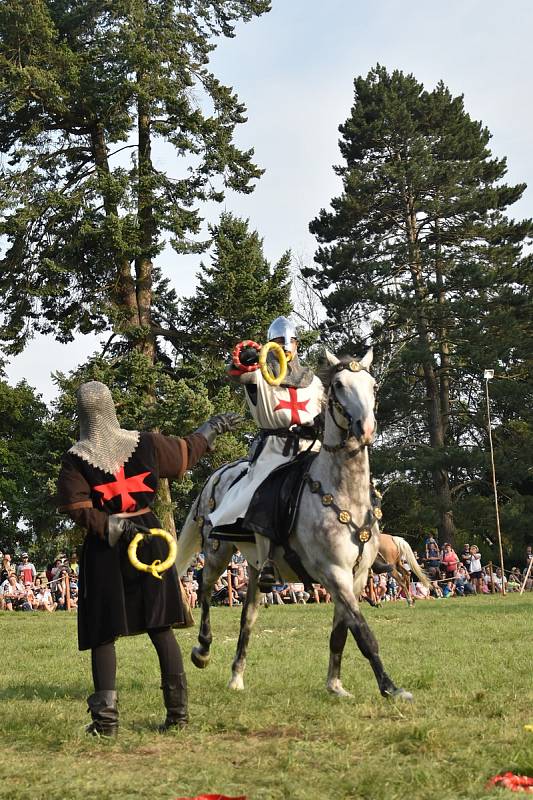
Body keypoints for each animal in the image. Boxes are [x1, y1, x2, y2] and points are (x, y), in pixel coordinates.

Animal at [175, 350, 412, 700]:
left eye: (373, 385)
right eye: (339, 385)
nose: (366, 428)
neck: (343, 492)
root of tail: (218, 474)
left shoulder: (355, 578)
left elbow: (341, 633)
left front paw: (335, 685)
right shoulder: (334, 574)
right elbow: (363, 632)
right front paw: (390, 688)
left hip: (256, 567)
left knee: (248, 617)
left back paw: (236, 677)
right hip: (217, 551)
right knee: (204, 589)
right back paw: (202, 650)